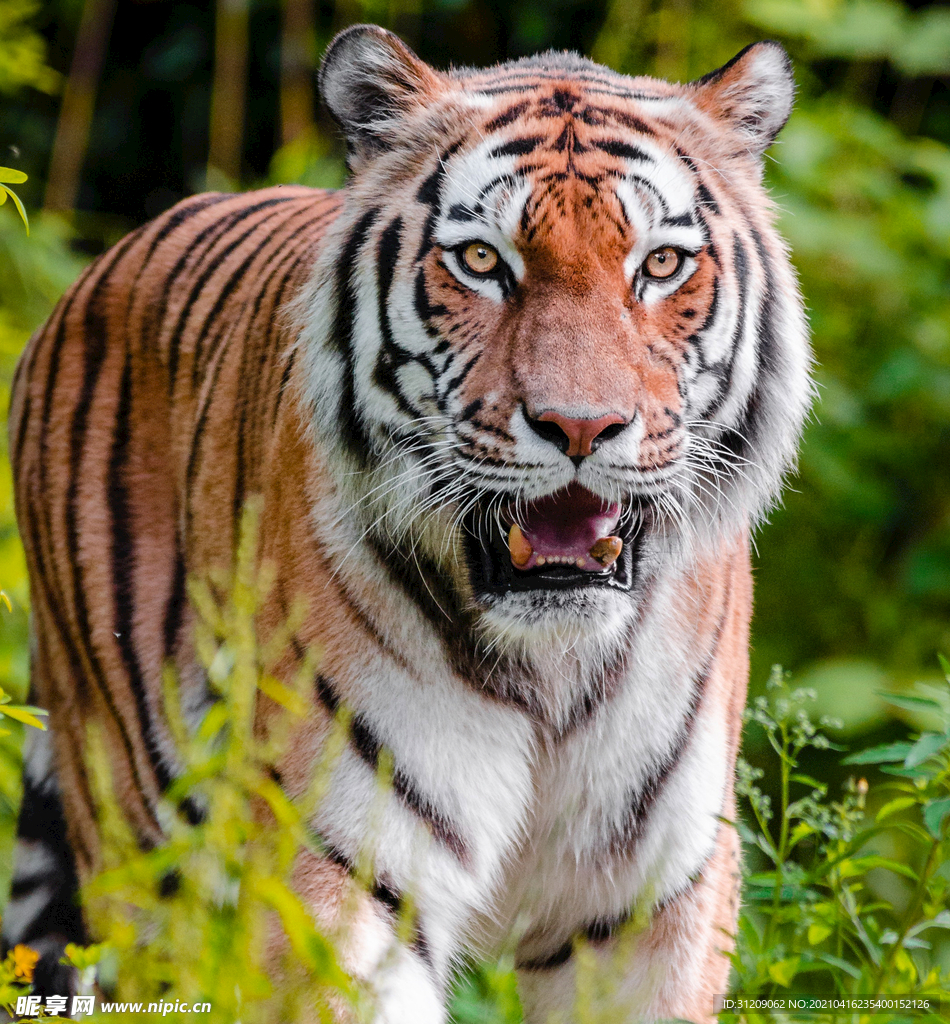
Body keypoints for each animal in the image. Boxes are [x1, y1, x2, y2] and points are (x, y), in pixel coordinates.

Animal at [5, 23, 812, 1023]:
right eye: (482, 262)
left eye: (660, 265)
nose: (581, 426)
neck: (551, 672)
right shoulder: (336, 874)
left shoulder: (652, 901)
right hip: (139, 844)